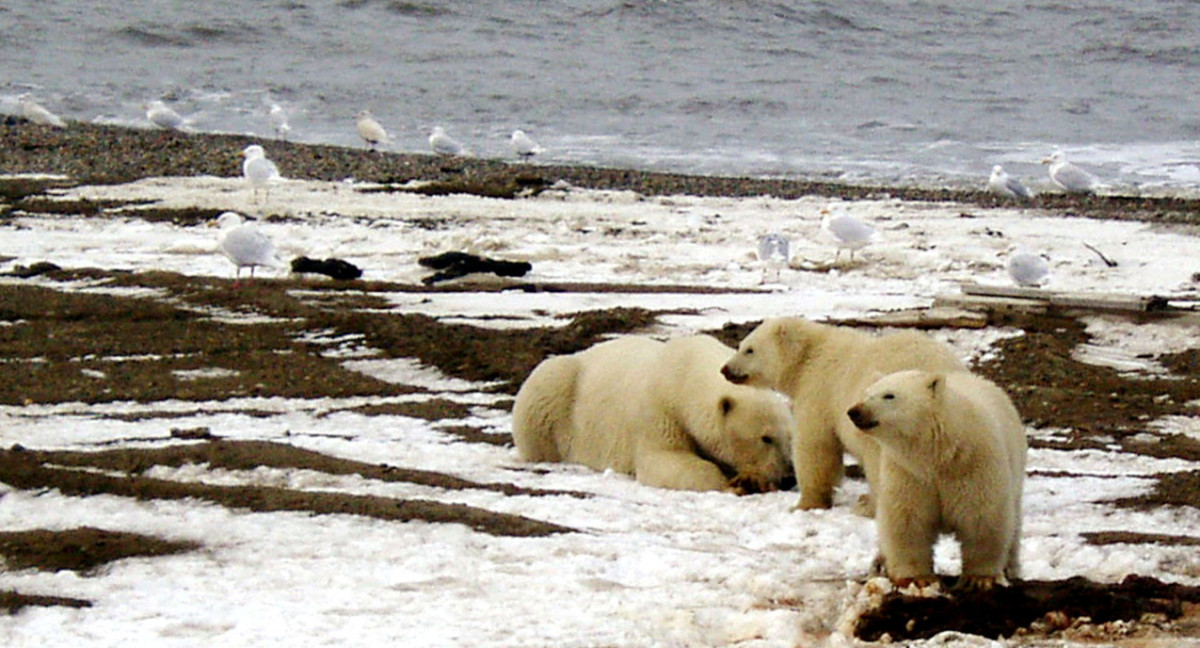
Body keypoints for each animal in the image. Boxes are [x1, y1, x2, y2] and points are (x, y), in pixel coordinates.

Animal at [508, 333, 796, 492]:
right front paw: (734, 484)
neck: (685, 374)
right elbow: (664, 459)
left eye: (789, 438)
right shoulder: (659, 411)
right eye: (765, 437)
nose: (787, 477)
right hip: (557, 390)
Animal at [715, 316, 960, 511]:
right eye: (741, 345)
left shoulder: (820, 389)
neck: (809, 355)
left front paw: (806, 504)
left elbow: (816, 446)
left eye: (749, 349)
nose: (725, 369)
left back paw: (869, 506)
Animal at [849, 369, 1027, 588]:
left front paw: (979, 578)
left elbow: (982, 516)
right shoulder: (908, 473)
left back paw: (1011, 569)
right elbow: (907, 519)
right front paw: (917, 578)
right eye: (867, 393)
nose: (854, 411)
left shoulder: (975, 465)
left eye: (889, 395)